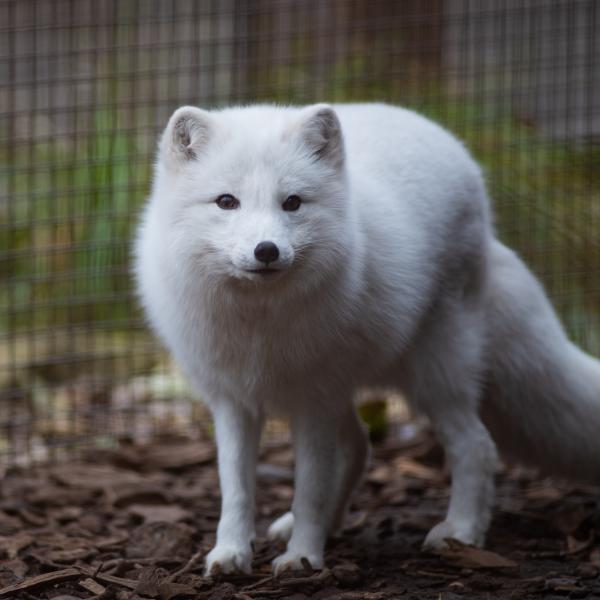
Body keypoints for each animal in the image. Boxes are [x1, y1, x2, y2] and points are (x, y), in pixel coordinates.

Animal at [134, 103, 600, 576]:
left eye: (292, 202)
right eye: (227, 201)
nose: (267, 250)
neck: (259, 322)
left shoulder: (313, 401)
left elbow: (310, 487)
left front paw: (303, 556)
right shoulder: (232, 400)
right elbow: (236, 489)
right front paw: (230, 553)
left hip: (435, 372)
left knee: (476, 446)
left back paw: (461, 532)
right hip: (353, 384)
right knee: (359, 446)